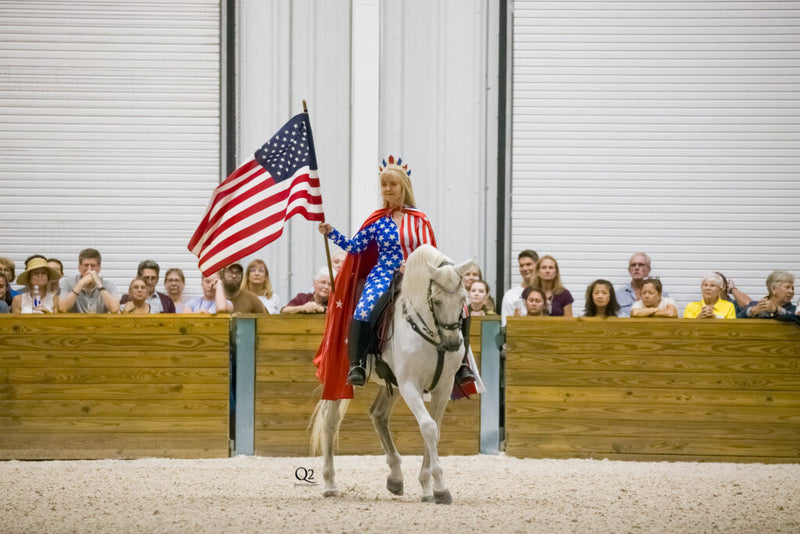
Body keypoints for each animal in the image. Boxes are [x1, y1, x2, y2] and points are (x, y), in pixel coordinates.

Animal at [310, 245, 472, 504]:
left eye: (462, 300)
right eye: (436, 301)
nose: (453, 344)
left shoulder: (443, 387)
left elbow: (434, 430)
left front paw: (428, 486)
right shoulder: (409, 386)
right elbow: (428, 427)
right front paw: (440, 487)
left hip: (392, 384)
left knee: (378, 414)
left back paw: (396, 478)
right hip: (341, 380)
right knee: (330, 421)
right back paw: (330, 484)